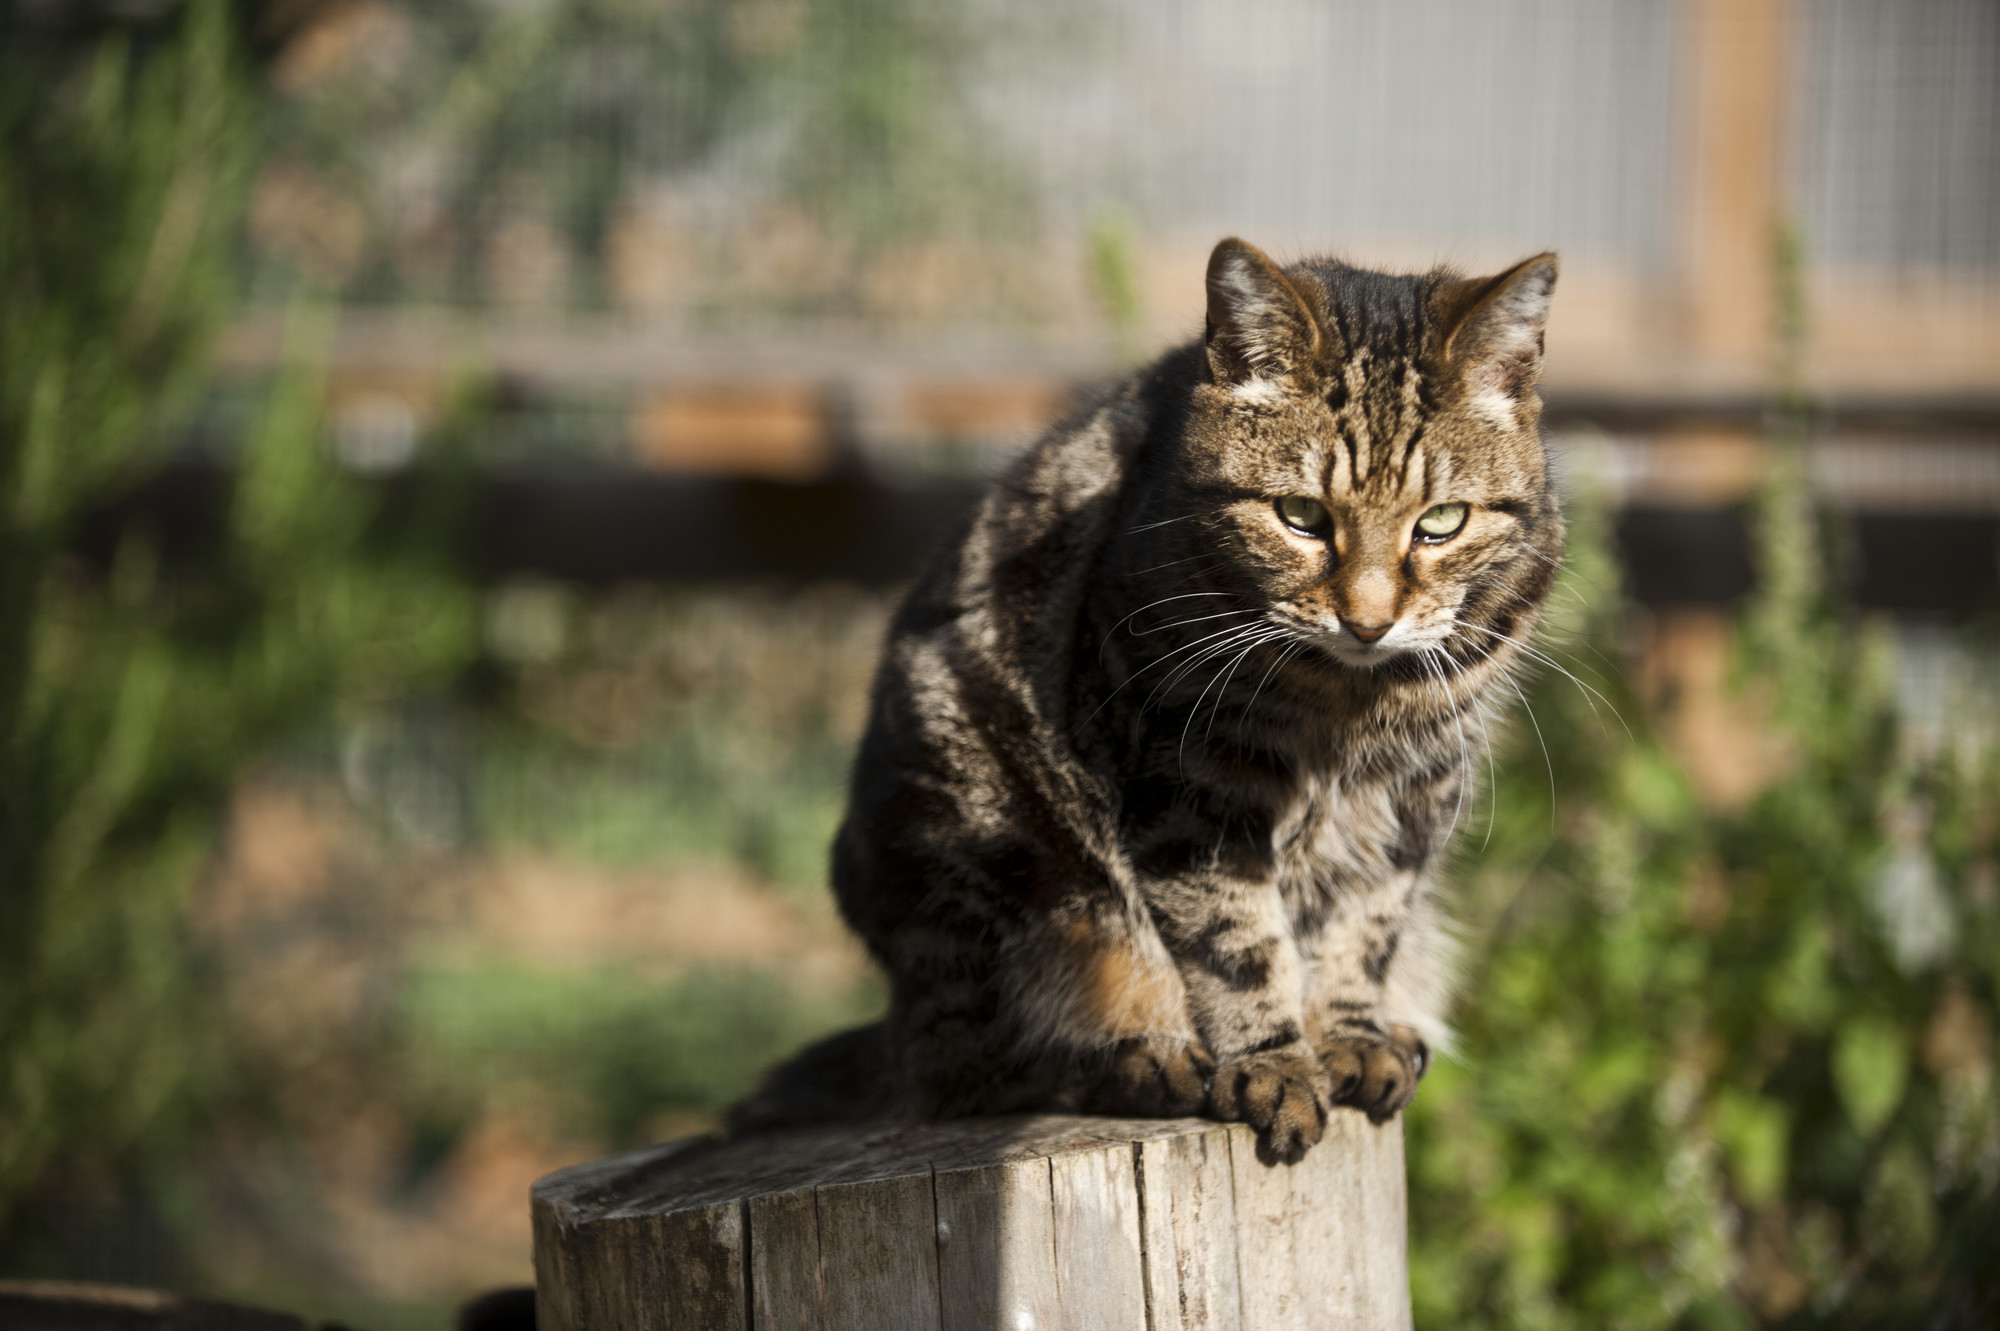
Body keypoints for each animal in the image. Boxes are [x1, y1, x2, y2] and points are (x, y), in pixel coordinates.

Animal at [736, 238, 1560, 1159]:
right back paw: (1143, 1057)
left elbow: (1364, 926)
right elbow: (1238, 942)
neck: (1345, 701)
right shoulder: (1192, 785)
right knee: (973, 1065)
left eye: (1442, 521)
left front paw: (1349, 1035)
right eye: (1301, 515)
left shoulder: (1411, 796)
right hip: (999, 877)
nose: (1369, 619)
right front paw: (1274, 1062)